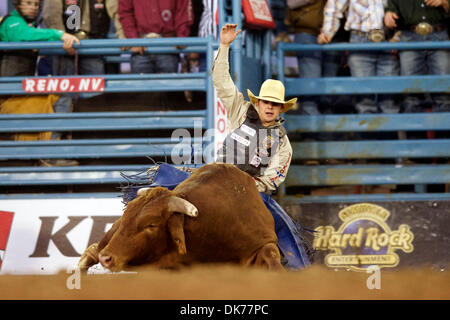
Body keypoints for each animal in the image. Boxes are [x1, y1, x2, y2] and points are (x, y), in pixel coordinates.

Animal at [78, 164, 284, 272]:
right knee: (92, 251)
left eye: (151, 225)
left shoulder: (263, 242)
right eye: (127, 217)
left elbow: (271, 256)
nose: (107, 259)